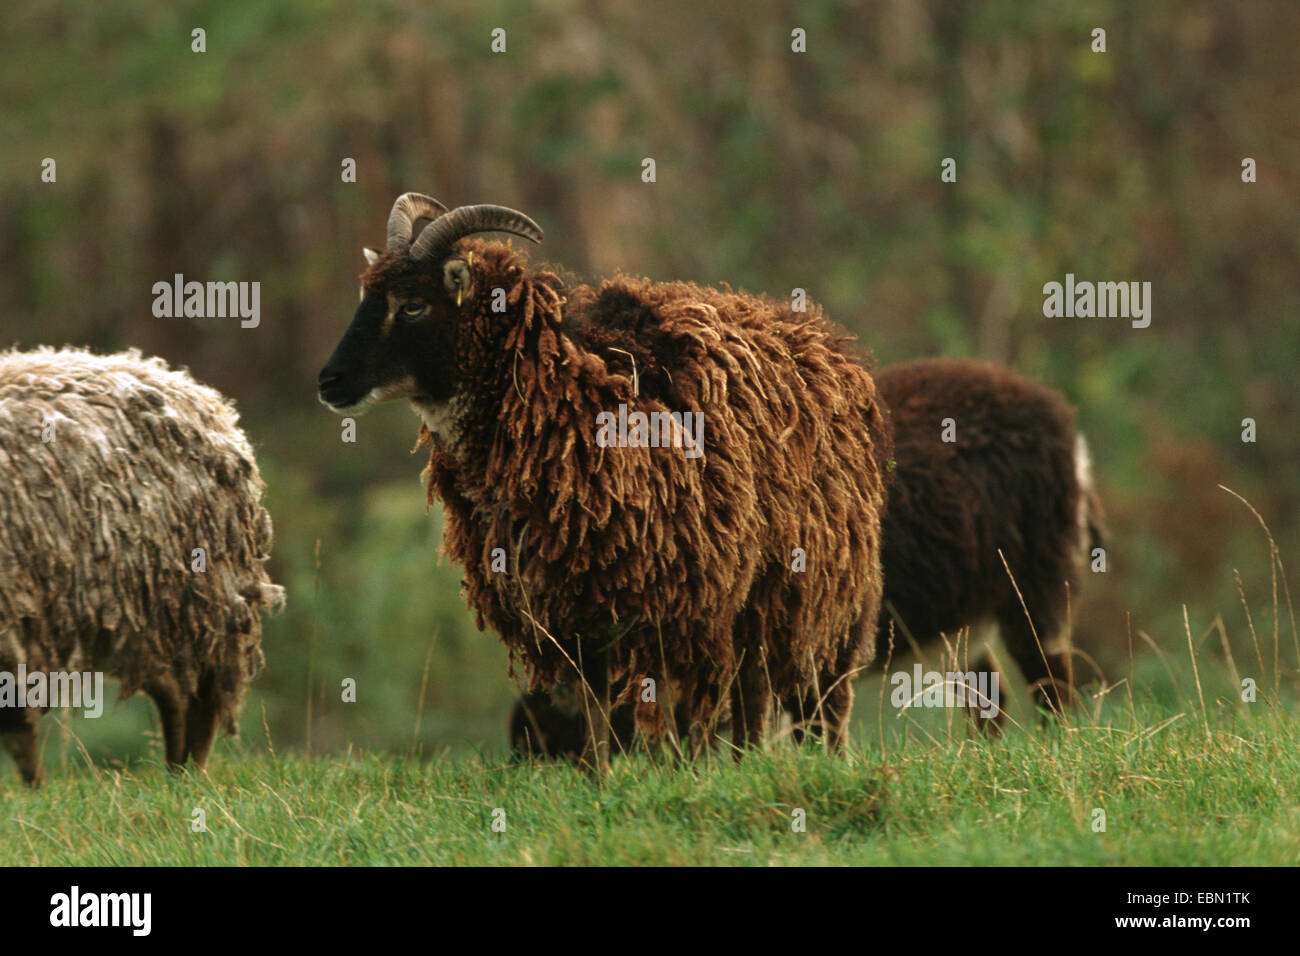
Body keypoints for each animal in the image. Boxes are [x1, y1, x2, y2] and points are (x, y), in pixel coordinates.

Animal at [314, 195, 894, 770]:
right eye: (367, 295)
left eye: (412, 305)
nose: (329, 381)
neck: (563, 392)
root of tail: (824, 336)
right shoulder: (570, 603)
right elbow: (592, 702)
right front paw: (598, 776)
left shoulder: (666, 595)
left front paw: (668, 772)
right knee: (752, 686)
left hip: (806, 581)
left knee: (803, 689)